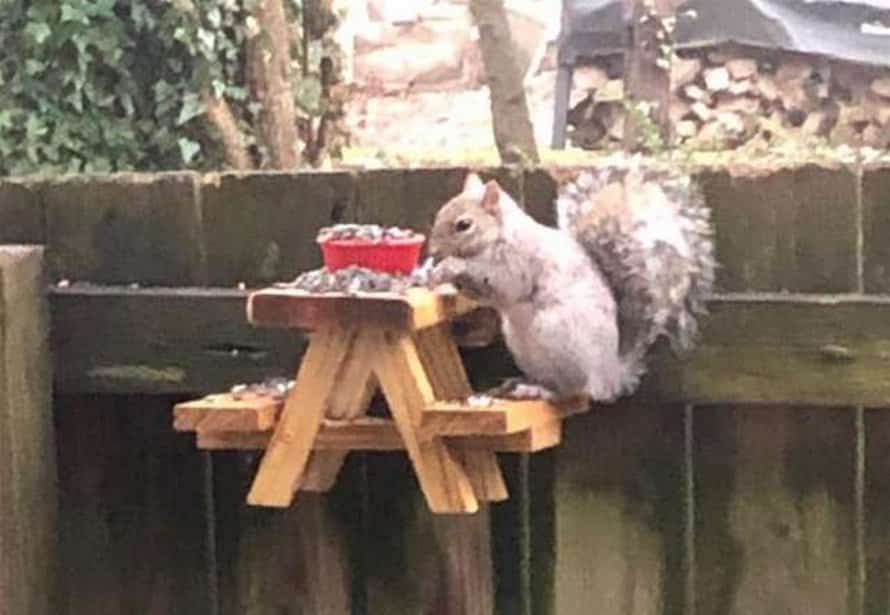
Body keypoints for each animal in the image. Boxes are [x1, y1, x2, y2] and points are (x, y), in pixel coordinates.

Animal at [426, 162, 712, 404]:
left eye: (464, 225)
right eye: (439, 212)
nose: (433, 250)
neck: (500, 236)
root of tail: (609, 375)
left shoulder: (518, 264)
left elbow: (499, 285)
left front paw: (451, 267)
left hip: (557, 334)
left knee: (572, 389)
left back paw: (540, 391)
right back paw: (521, 383)